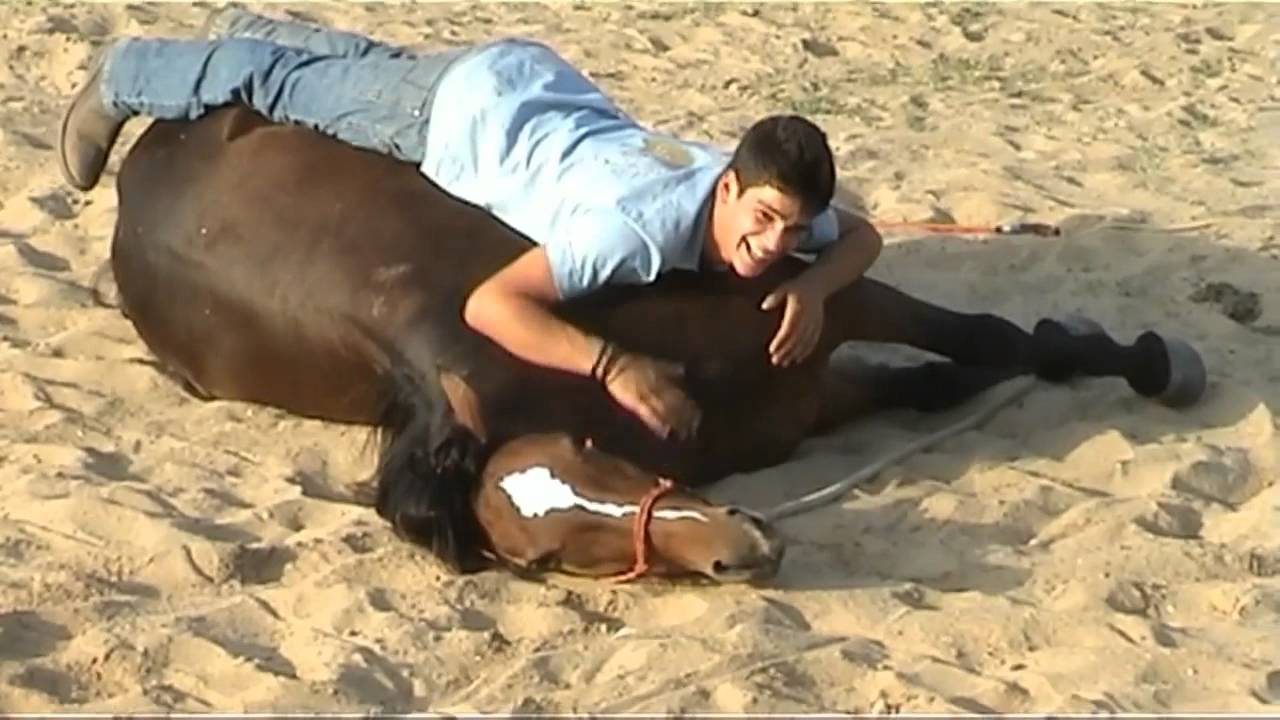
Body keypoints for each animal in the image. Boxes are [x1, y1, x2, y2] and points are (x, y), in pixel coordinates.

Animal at [106, 105, 1207, 583]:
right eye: (555, 557)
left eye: (594, 450)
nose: (738, 552)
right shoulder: (814, 396)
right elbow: (949, 377)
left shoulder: (833, 306)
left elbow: (996, 337)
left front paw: (1152, 362)